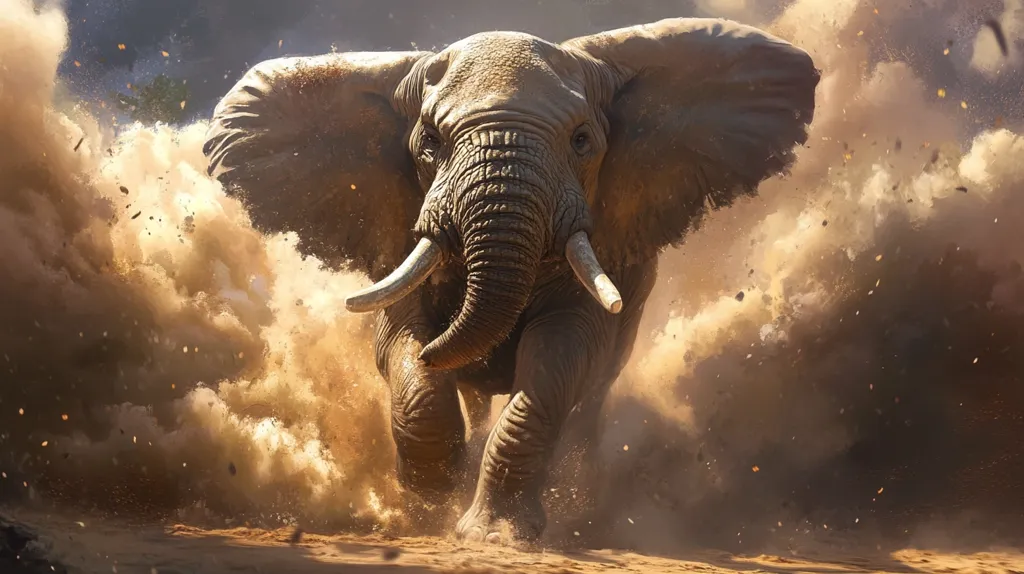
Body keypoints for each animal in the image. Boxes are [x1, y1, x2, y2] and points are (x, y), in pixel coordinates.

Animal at [203, 17, 819, 543]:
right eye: (429, 143)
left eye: (581, 141)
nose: (442, 351)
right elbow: (400, 342)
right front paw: (429, 506)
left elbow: (563, 353)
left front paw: (493, 534)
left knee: (592, 392)